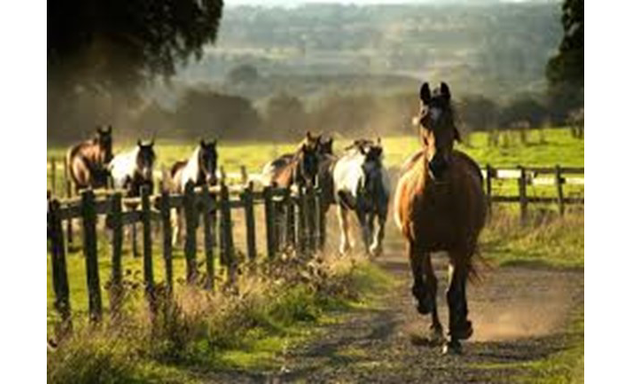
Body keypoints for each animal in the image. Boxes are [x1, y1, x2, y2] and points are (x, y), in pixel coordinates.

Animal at [396, 82, 488, 356]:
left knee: (459, 285)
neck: (437, 198)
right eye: (423, 119)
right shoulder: (416, 245)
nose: (438, 166)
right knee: (434, 283)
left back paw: (460, 325)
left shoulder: (460, 246)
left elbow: (453, 292)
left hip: (462, 248)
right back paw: (436, 327)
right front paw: (424, 306)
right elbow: (423, 286)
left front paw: (453, 339)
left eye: (450, 120)